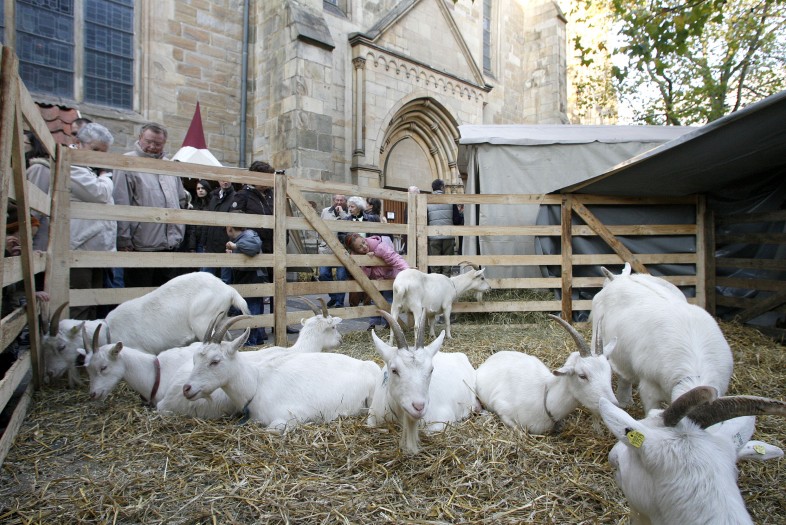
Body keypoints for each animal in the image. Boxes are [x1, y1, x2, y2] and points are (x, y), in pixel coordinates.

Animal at [42, 272, 250, 385]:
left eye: (61, 346)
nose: (50, 373)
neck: (109, 329)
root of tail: (230, 291)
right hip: (220, 319)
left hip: (203, 321)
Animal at [181, 315, 382, 432]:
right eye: (194, 359)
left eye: (215, 361)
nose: (187, 388)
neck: (256, 384)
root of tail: (371, 365)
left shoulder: (291, 416)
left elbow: (272, 430)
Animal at [475, 314, 618, 434]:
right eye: (582, 375)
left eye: (609, 373)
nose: (614, 405)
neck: (545, 399)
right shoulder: (500, 406)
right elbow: (518, 430)